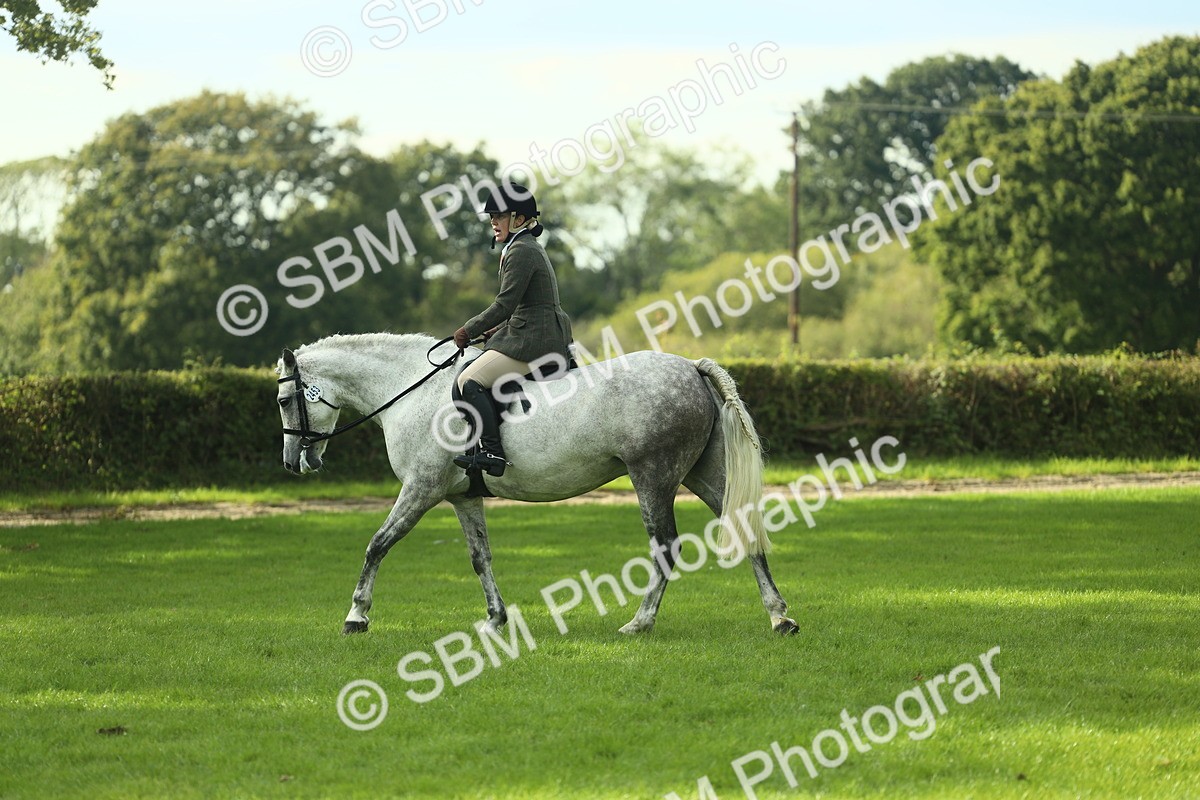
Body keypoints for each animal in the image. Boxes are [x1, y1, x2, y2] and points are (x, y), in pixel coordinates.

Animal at [274, 332, 798, 636]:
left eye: (282, 400)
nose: (295, 462)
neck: (413, 390)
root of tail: (690, 366)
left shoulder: (421, 490)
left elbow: (378, 544)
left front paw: (356, 615)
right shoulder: (462, 498)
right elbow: (479, 557)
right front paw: (495, 619)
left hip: (653, 474)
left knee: (666, 546)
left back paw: (640, 622)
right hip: (701, 473)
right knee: (745, 530)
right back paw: (780, 617)